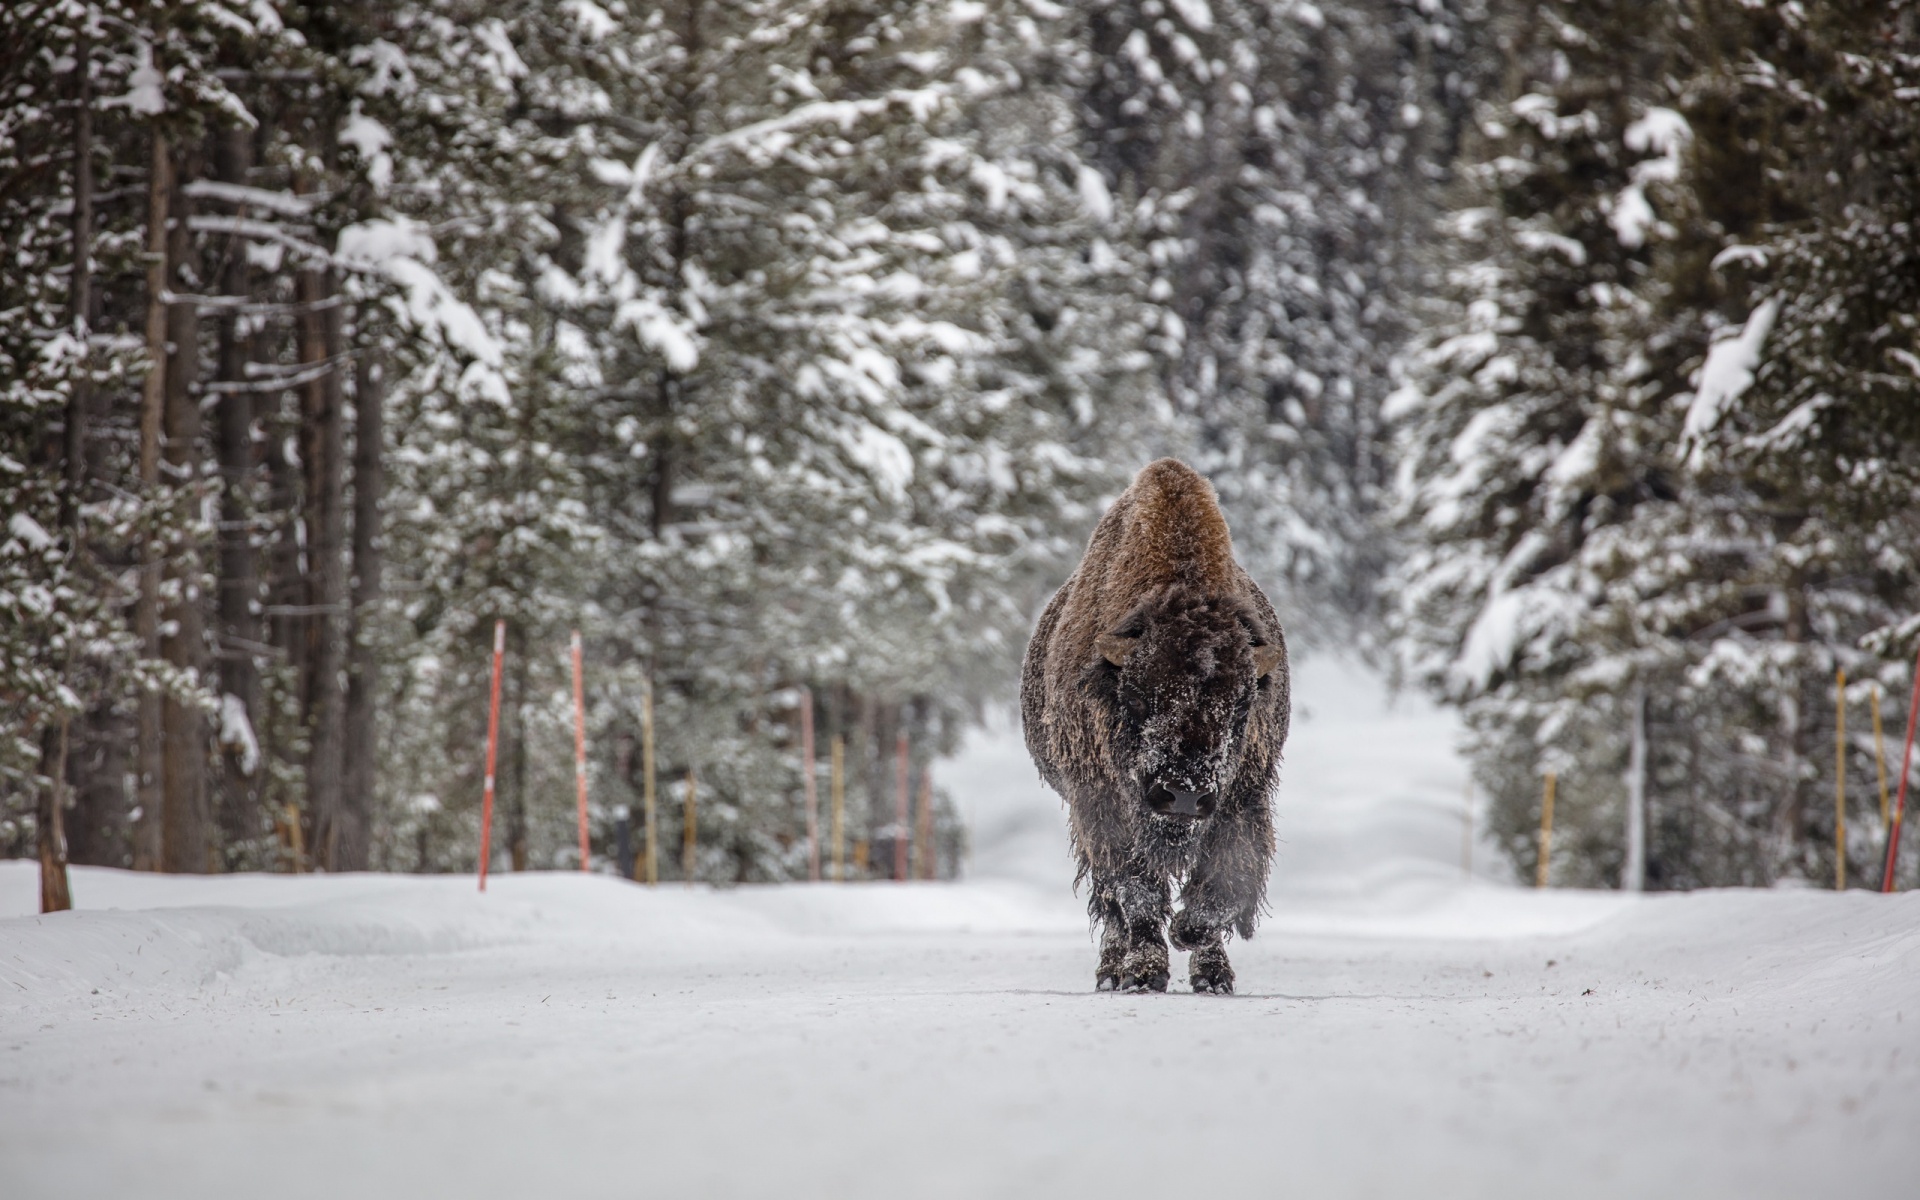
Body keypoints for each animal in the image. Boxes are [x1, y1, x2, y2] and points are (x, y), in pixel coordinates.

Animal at [1021, 458, 1290, 990]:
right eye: (1138, 698)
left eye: (1242, 706)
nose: (1183, 795)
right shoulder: (1100, 803)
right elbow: (1135, 891)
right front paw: (1144, 972)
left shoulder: (1243, 797)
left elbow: (1225, 883)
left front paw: (1194, 942)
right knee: (1110, 906)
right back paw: (1112, 971)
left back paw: (1210, 973)